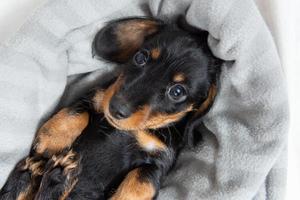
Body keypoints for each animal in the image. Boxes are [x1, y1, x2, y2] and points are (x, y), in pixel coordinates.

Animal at [0, 17, 223, 200]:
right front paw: (52, 138)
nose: (116, 108)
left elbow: (143, 181)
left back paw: (54, 179)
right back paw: (35, 176)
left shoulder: (159, 162)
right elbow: (77, 112)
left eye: (177, 92)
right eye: (140, 58)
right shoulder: (97, 97)